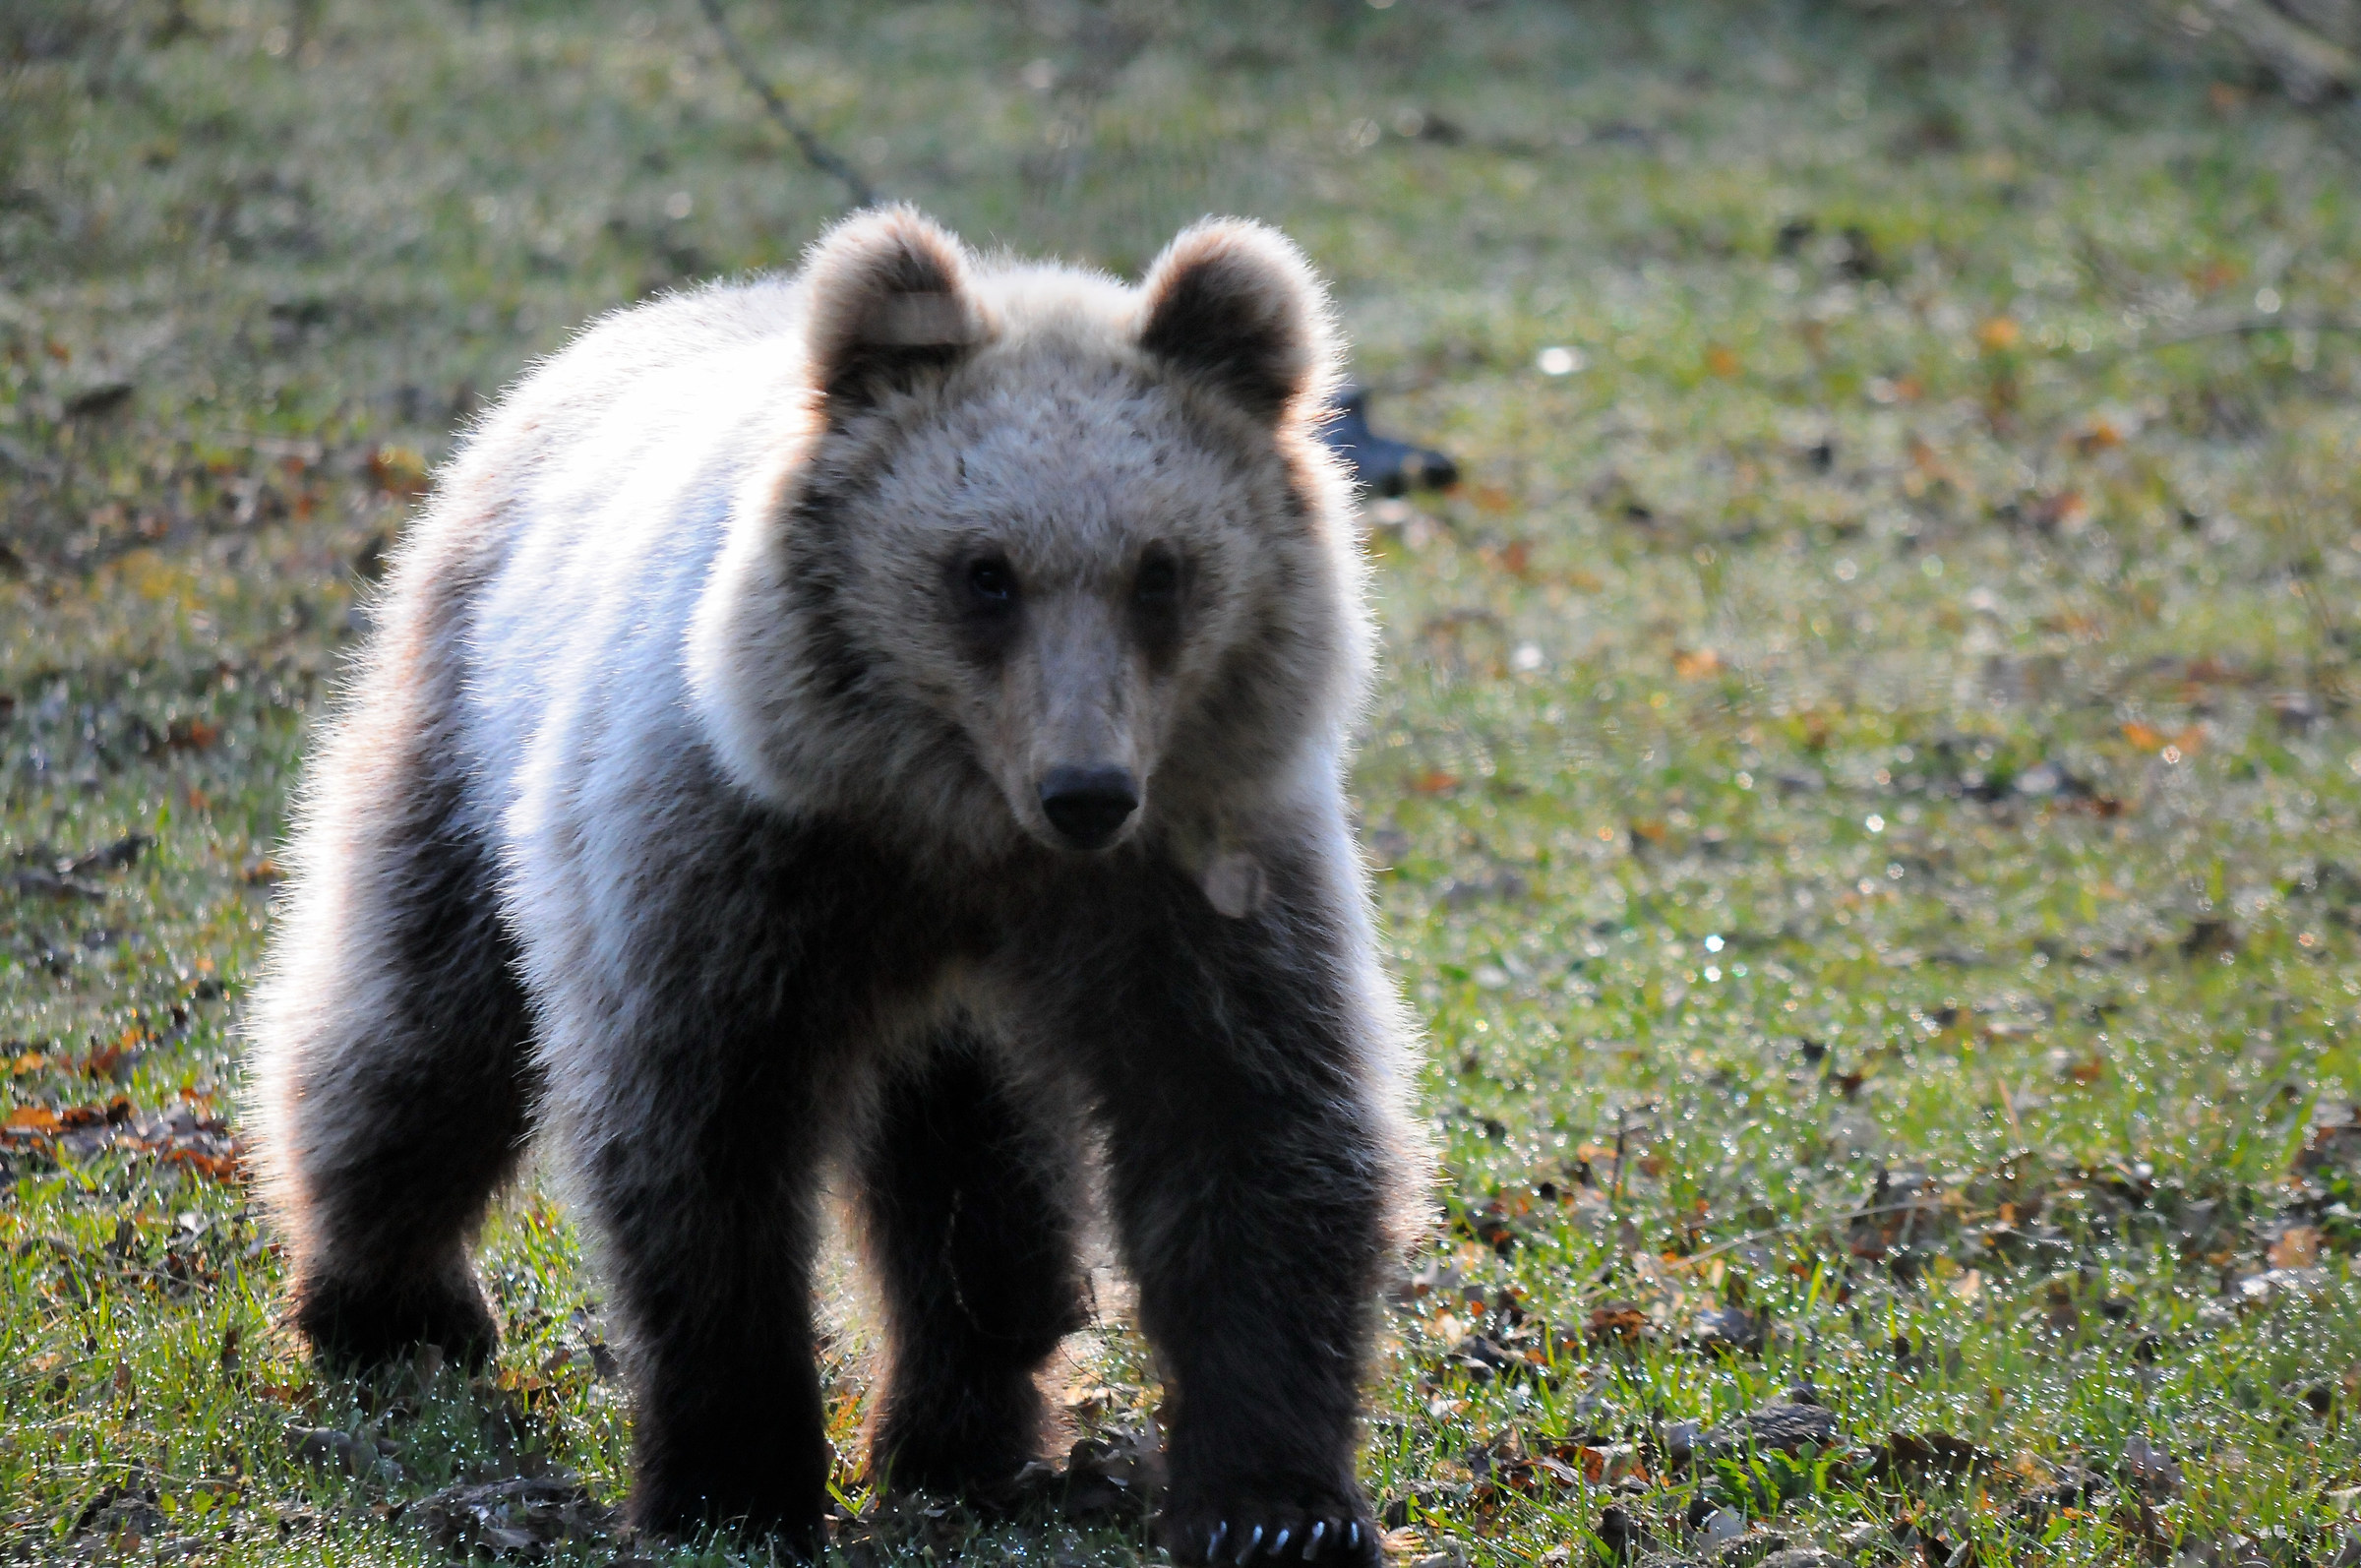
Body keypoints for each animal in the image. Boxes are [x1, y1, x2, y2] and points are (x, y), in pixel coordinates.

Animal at [242, 206, 1424, 1563]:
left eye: (1161, 570)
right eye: (984, 572)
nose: (1086, 788)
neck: (954, 831)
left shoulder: (1190, 880)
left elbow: (1251, 1121)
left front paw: (1278, 1506)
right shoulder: (739, 857)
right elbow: (704, 1145)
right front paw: (734, 1481)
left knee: (978, 1196)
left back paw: (964, 1432)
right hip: (468, 725)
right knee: (424, 1023)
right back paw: (390, 1306)